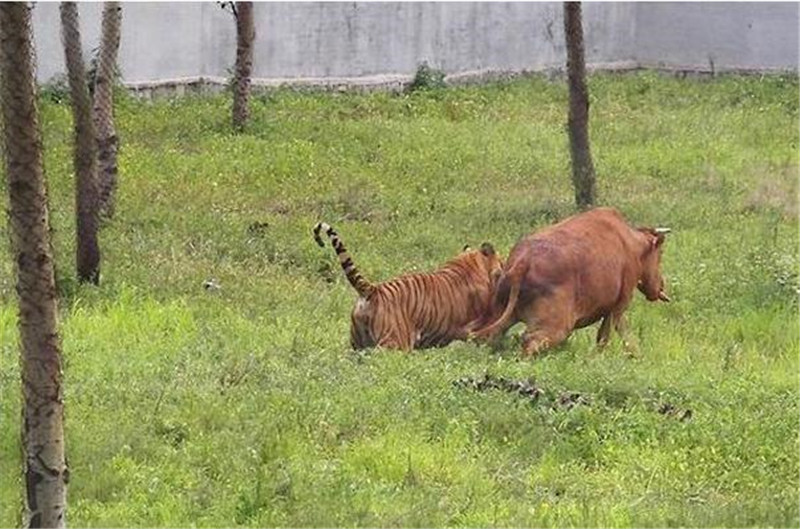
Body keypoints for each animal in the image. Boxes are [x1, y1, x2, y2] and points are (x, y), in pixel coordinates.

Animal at [468, 206, 668, 354]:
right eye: (659, 255)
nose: (661, 285)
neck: (630, 241)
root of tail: (523, 261)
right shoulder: (619, 306)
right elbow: (607, 337)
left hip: (499, 314)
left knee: (488, 338)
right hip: (558, 327)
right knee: (530, 341)